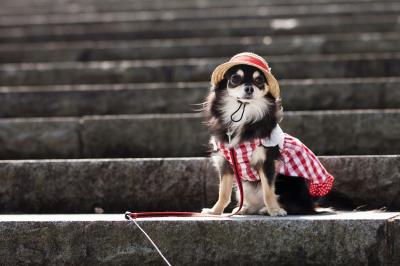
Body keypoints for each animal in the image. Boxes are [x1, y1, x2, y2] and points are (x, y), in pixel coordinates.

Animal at [202, 53, 332, 216]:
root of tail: (311, 205)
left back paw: (268, 209)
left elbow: (268, 191)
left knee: (295, 206)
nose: (249, 88)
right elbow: (223, 192)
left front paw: (274, 210)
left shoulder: (268, 161)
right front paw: (215, 211)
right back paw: (245, 209)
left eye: (259, 81)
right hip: (246, 188)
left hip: (288, 182)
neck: (244, 113)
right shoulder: (226, 162)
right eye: (235, 79)